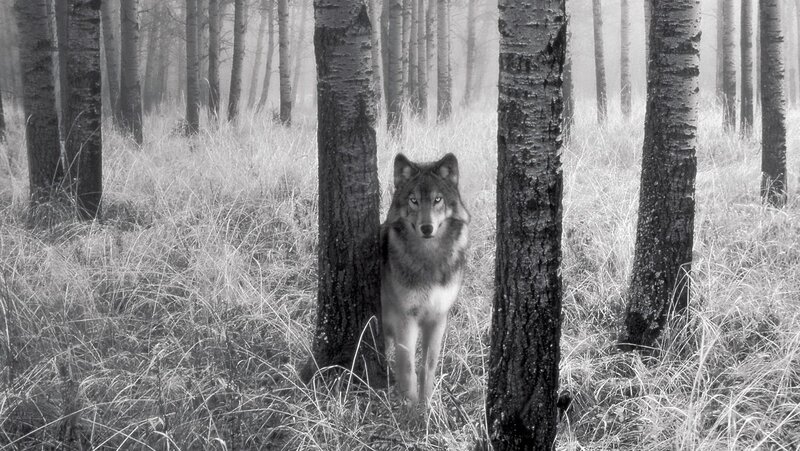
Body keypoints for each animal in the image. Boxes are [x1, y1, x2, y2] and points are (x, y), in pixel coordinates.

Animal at [381, 153, 470, 405]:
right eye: (413, 201)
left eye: (437, 199)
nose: (427, 228)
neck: (429, 259)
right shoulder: (406, 319)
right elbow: (408, 368)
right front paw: (410, 408)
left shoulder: (438, 317)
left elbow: (428, 367)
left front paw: (427, 405)